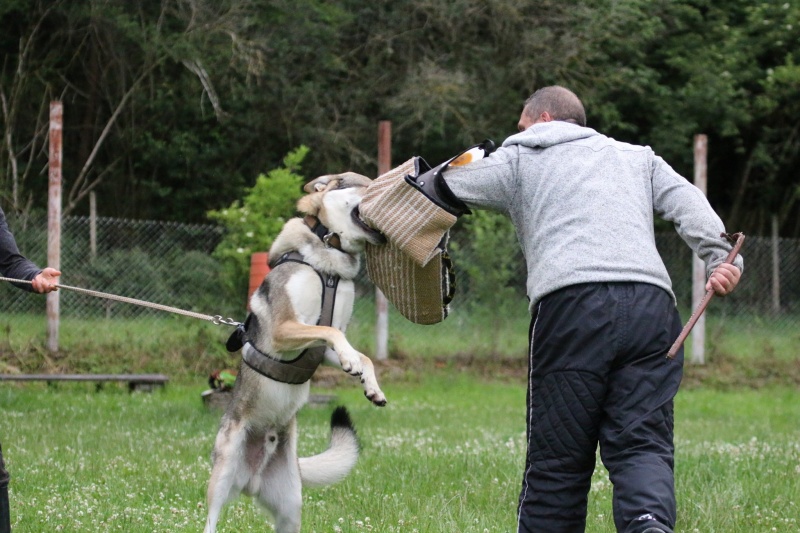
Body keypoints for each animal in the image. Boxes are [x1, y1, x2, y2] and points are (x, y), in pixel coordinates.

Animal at [205, 171, 390, 532]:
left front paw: (371, 386)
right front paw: (352, 363)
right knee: (210, 520)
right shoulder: (285, 329)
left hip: (291, 506)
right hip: (221, 479)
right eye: (365, 184)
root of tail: (252, 479)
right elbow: (331, 331)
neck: (331, 257)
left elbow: (361, 354)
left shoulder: (322, 346)